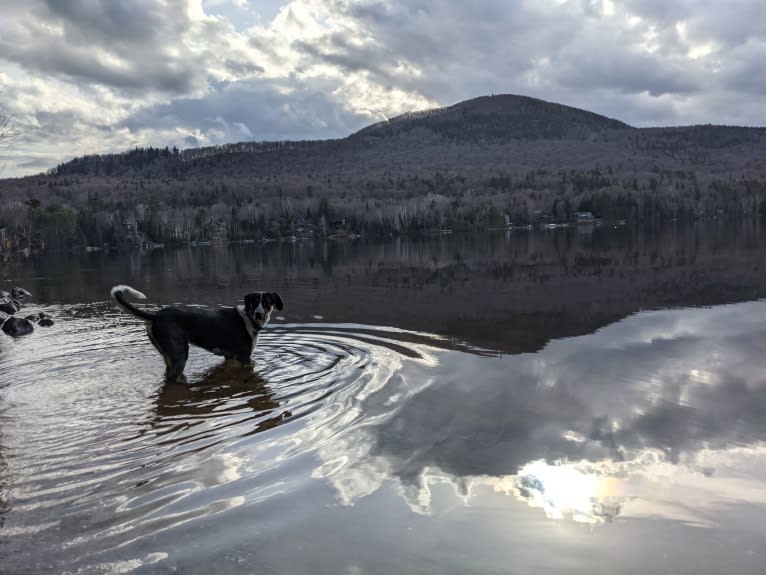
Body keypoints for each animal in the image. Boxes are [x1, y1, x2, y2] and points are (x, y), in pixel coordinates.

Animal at [111, 286, 284, 380]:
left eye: (267, 303)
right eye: (255, 302)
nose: (259, 314)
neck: (248, 317)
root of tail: (156, 316)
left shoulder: (229, 357)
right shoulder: (244, 358)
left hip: (168, 356)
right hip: (180, 354)